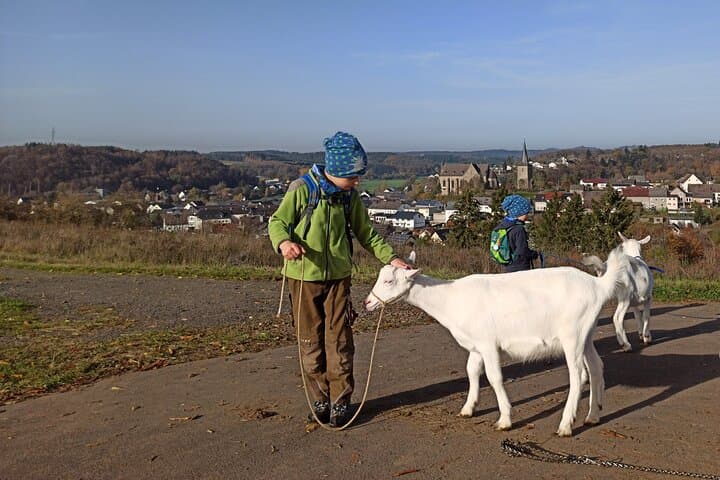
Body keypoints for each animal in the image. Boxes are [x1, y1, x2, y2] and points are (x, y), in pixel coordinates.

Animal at [364, 246, 628, 437]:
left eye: (388, 281)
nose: (368, 302)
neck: (450, 298)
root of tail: (598, 285)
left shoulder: (488, 343)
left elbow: (494, 377)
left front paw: (505, 420)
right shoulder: (475, 345)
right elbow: (471, 371)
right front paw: (468, 408)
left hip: (572, 335)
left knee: (578, 376)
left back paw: (565, 425)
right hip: (587, 334)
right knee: (596, 367)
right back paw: (592, 416)